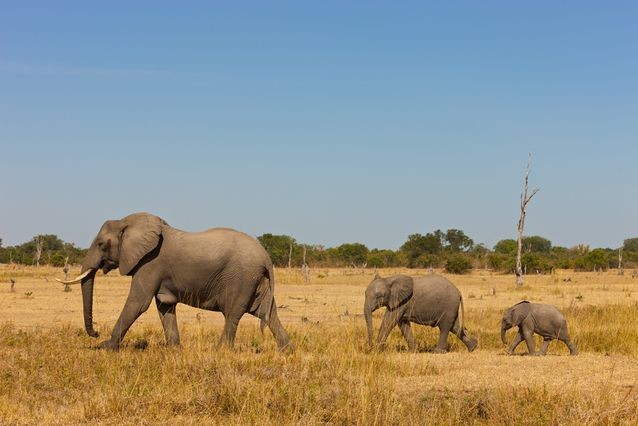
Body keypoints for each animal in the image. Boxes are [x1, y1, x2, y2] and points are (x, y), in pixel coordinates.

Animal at [57, 211, 292, 352]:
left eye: (101, 244)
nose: (96, 333)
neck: (128, 222)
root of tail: (266, 257)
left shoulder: (150, 263)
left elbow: (138, 303)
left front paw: (106, 347)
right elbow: (164, 306)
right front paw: (174, 349)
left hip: (242, 277)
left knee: (233, 314)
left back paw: (220, 350)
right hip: (256, 281)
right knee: (267, 313)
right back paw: (286, 349)